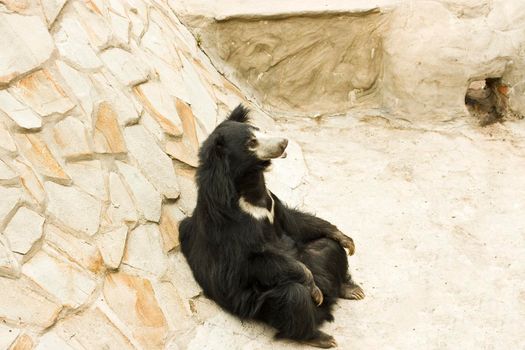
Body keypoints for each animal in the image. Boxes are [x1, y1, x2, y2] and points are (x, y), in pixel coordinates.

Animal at [178, 104, 362, 348]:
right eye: (251, 143)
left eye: (258, 130)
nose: (284, 142)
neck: (250, 190)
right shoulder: (230, 226)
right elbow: (253, 260)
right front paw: (313, 288)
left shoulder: (272, 203)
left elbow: (294, 222)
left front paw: (346, 239)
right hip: (262, 304)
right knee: (293, 296)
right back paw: (320, 335)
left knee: (327, 248)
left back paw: (349, 289)